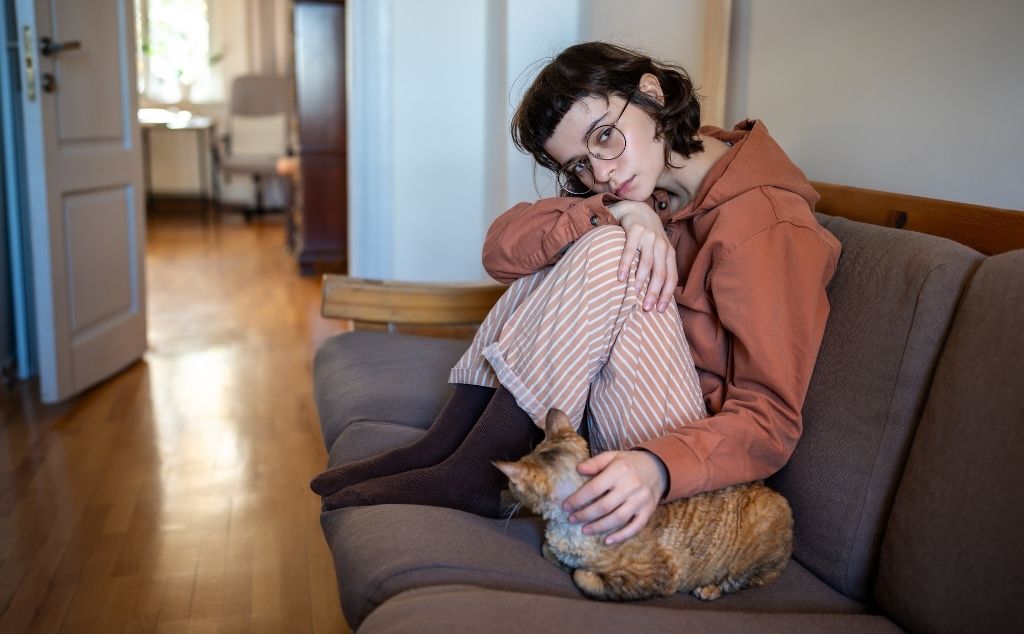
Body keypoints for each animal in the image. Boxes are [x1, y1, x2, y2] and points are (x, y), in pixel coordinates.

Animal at [495, 409, 790, 602]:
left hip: (765, 519)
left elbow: (583, 577)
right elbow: (548, 550)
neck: (565, 528)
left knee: (743, 580)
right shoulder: (552, 545)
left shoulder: (659, 575)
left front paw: (580, 570)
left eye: (513, 485)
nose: (508, 490)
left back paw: (710, 589)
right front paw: (563, 560)